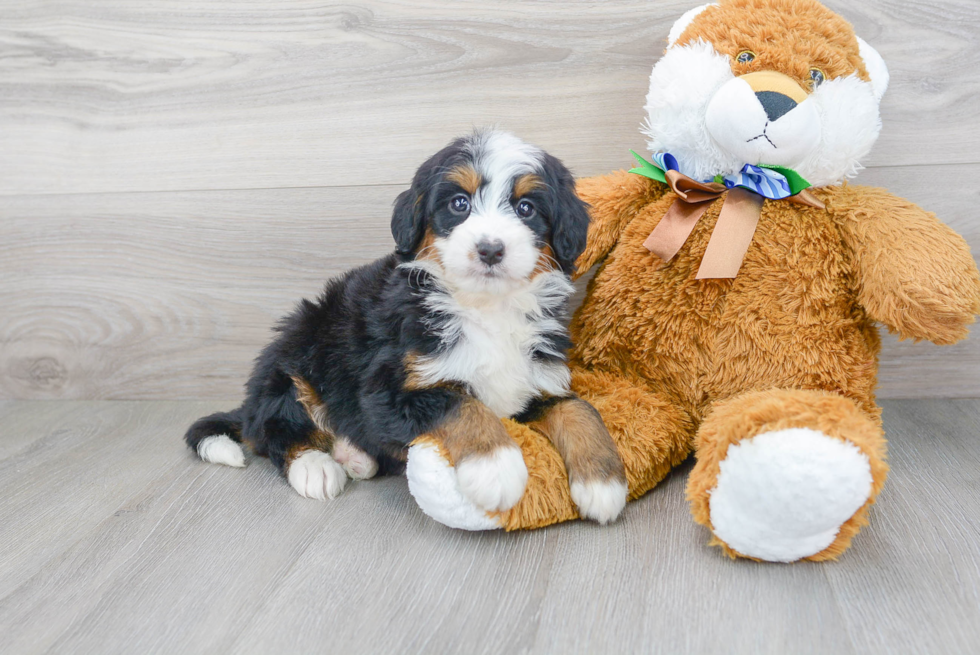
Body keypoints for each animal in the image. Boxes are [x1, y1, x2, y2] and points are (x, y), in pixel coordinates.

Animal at [184, 131, 628, 524]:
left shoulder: (537, 377)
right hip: (296, 352)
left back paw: (354, 456)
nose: (490, 249)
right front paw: (496, 466)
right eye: (459, 203)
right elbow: (461, 403)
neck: (486, 308)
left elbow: (578, 408)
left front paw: (603, 482)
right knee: (275, 426)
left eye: (526, 209)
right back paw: (315, 466)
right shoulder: (389, 389)